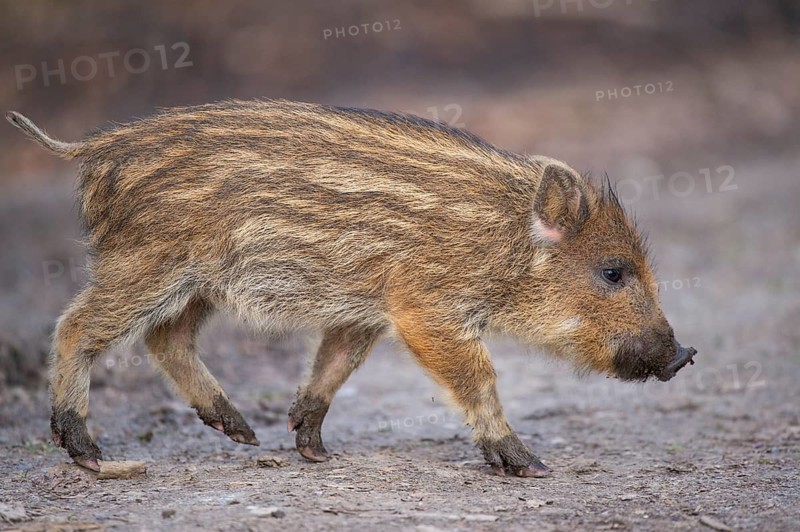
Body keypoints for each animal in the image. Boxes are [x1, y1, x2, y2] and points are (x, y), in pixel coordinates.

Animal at [6, 100, 696, 477]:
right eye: (613, 272)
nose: (684, 355)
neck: (503, 245)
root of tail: (93, 146)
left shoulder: (366, 309)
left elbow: (334, 365)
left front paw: (313, 450)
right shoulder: (423, 306)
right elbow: (478, 377)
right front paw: (527, 465)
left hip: (196, 283)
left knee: (165, 339)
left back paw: (242, 433)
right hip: (149, 262)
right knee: (77, 325)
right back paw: (87, 452)